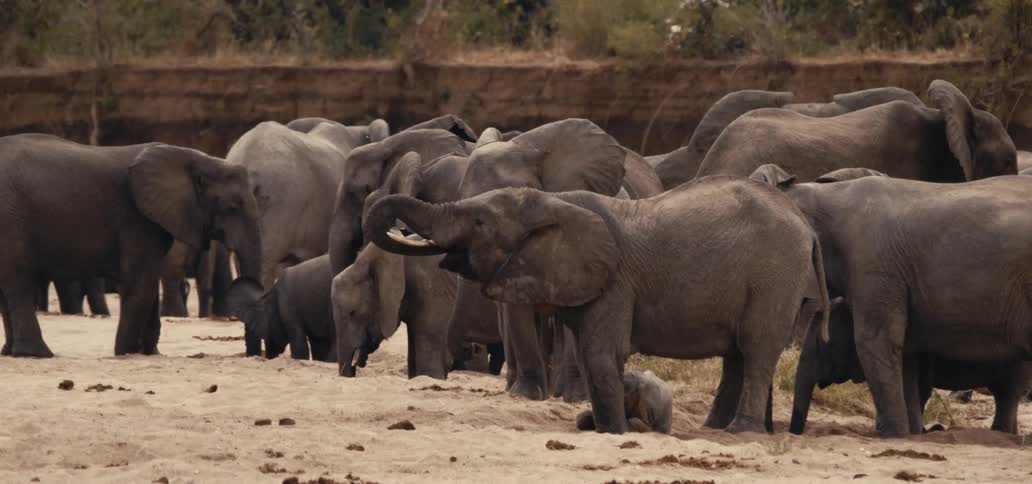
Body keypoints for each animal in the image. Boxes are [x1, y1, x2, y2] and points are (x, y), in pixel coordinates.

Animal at [0, 134, 261, 357]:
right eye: (233, 206)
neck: (197, 158)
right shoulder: (136, 220)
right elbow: (141, 286)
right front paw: (126, 353)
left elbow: (149, 285)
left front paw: (149, 354)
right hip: (12, 220)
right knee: (19, 282)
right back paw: (37, 353)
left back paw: (10, 352)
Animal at [364, 178, 830, 434]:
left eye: (481, 223)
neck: (553, 200)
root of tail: (808, 228)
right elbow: (592, 359)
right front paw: (605, 428)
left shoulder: (615, 282)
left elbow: (600, 353)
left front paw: (615, 432)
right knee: (736, 356)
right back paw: (713, 428)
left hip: (774, 278)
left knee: (755, 352)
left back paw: (741, 431)